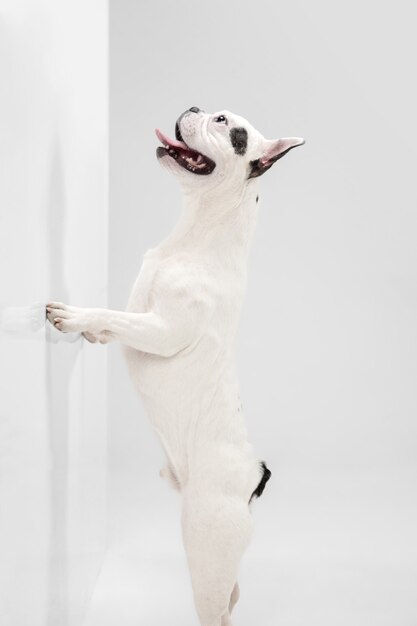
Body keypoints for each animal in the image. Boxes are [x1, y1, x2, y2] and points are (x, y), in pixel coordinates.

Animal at [47, 108, 304, 624]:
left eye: (225, 124)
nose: (195, 107)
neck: (199, 234)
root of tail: (254, 479)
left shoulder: (161, 330)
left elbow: (111, 315)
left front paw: (78, 318)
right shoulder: (140, 305)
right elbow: (117, 318)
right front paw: (92, 331)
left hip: (205, 547)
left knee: (217, 609)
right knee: (233, 594)